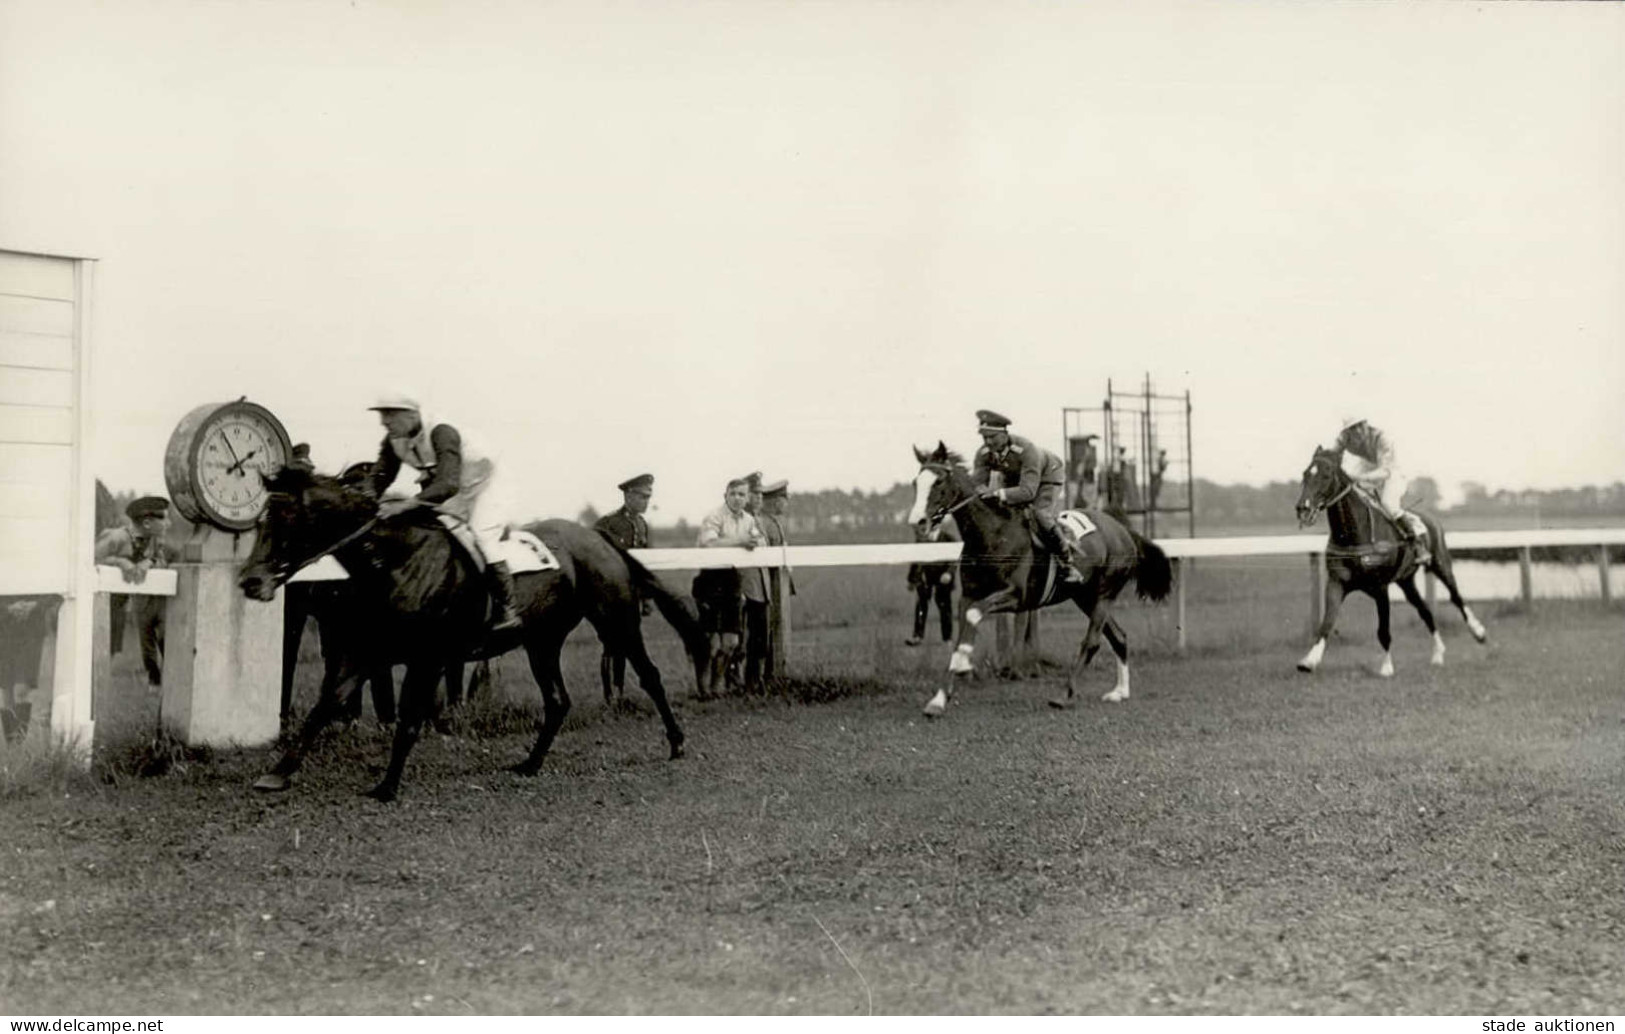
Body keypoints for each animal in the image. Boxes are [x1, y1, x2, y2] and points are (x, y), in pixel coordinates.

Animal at [237, 464, 708, 799]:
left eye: (287, 519)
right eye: (261, 519)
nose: (250, 581)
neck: (395, 562)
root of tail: (600, 537)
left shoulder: (426, 659)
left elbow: (409, 718)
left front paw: (387, 786)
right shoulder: (366, 650)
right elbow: (325, 705)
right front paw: (276, 774)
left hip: (616, 620)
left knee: (649, 675)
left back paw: (677, 743)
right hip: (542, 641)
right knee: (558, 700)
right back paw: (529, 764)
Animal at [903, 438, 1170, 715]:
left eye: (938, 482)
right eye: (915, 482)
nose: (918, 522)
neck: (992, 534)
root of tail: (1124, 531)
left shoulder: (1016, 596)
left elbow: (975, 615)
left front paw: (964, 662)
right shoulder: (968, 594)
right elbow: (961, 631)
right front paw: (939, 699)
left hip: (1105, 593)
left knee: (1093, 641)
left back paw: (1065, 696)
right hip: (1084, 596)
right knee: (1119, 636)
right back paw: (1120, 691)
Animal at [1293, 445, 1488, 679]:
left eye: (1326, 475)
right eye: (1305, 474)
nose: (1302, 508)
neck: (1354, 534)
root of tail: (1430, 517)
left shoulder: (1380, 587)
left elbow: (1383, 630)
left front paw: (1386, 667)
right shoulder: (1336, 583)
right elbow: (1327, 622)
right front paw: (1309, 661)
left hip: (1441, 564)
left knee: (1456, 597)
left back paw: (1478, 632)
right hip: (1406, 581)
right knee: (1425, 611)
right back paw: (1438, 654)